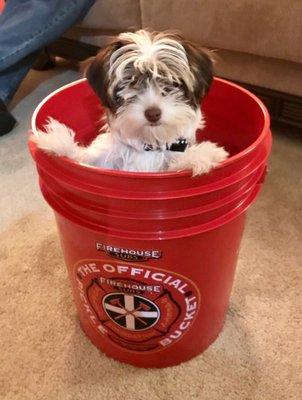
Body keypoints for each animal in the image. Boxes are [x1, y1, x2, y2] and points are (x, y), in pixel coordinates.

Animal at [31, 28, 229, 176]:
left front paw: (204, 154)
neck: (149, 144)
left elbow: (176, 161)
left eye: (171, 83)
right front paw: (58, 141)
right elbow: (84, 158)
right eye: (130, 83)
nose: (153, 113)